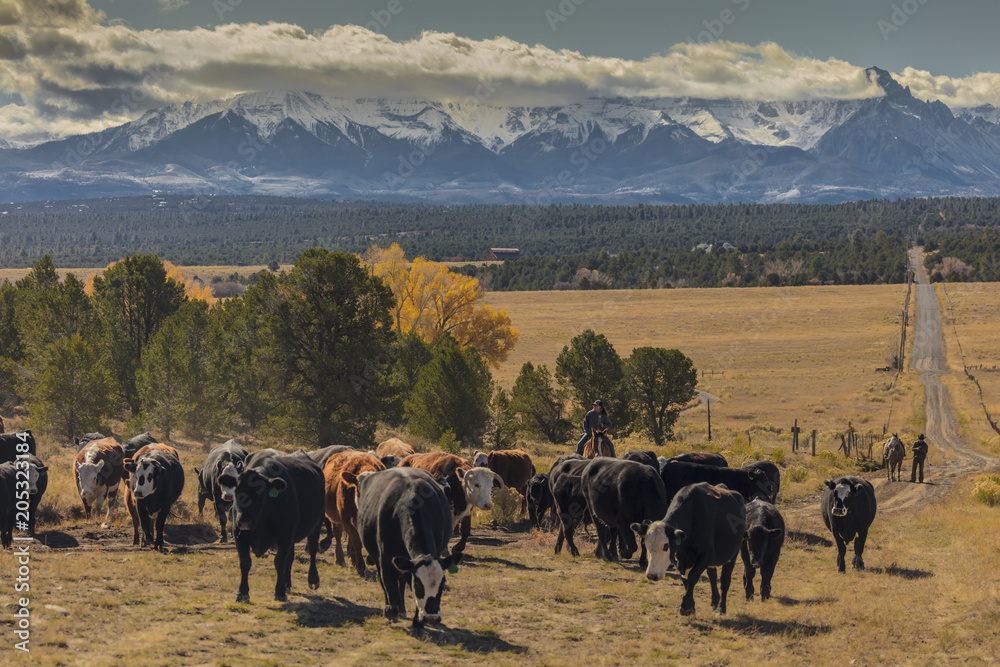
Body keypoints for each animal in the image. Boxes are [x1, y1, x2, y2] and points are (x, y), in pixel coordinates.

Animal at [231, 452, 322, 604]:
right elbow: (245, 563)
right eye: (236, 492)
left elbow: (279, 562)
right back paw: (287, 584)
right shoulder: (240, 535)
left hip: (317, 525)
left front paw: (279, 592)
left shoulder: (285, 537)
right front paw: (242, 592)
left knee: (313, 549)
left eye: (260, 495)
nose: (244, 521)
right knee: (290, 558)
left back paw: (313, 579)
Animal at [356, 468, 460, 628]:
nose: (431, 618)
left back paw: (403, 609)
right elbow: (391, 592)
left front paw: (417, 623)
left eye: (442, 584)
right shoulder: (385, 562)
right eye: (417, 584)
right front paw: (390, 612)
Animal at [632, 482, 744, 620]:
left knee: (725, 580)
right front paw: (691, 607)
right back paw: (715, 601)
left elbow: (692, 576)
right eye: (646, 545)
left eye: (666, 546)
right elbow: (685, 579)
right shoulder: (681, 559)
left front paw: (685, 607)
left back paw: (721, 608)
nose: (652, 575)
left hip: (733, 553)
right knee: (712, 576)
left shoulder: (706, 555)